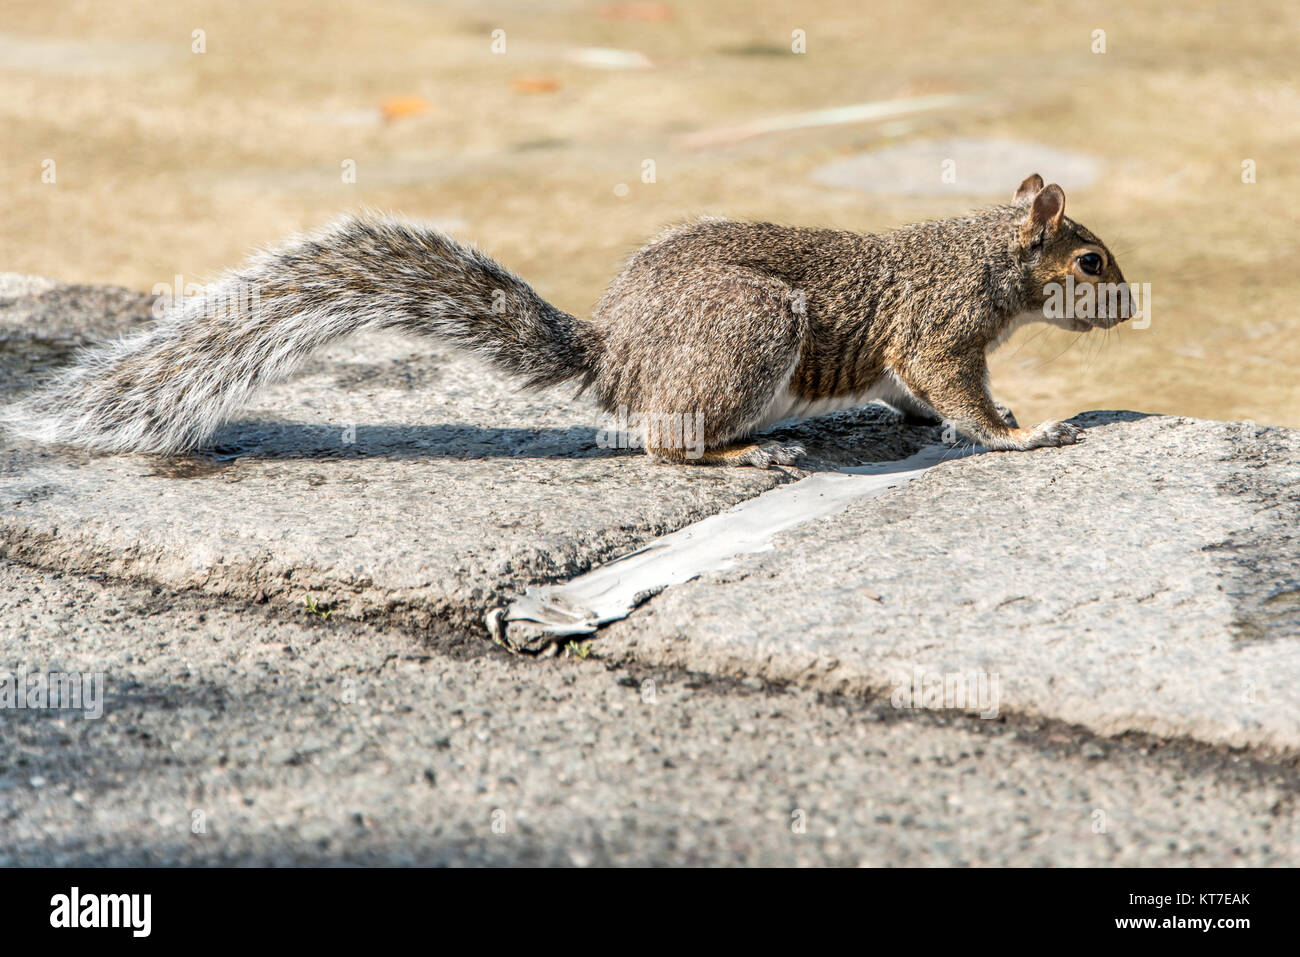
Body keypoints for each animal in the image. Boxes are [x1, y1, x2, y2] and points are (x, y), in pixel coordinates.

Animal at [2, 173, 1129, 468]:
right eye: (1090, 262)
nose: (1125, 306)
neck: (984, 252)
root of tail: (618, 359)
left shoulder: (912, 351)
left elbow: (915, 395)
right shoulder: (941, 330)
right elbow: (957, 392)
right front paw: (1024, 433)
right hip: (750, 329)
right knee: (668, 443)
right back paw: (745, 453)